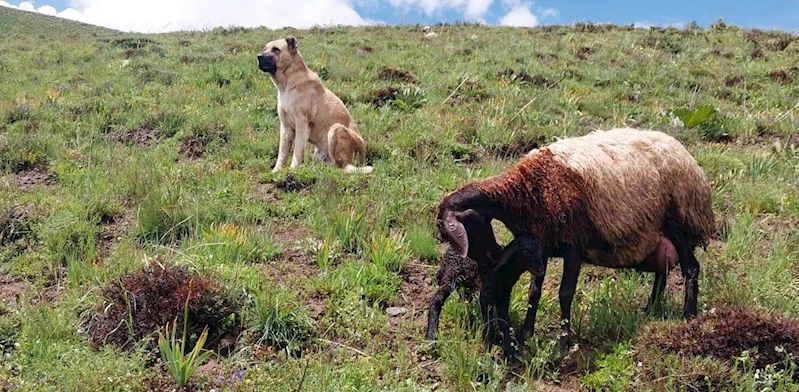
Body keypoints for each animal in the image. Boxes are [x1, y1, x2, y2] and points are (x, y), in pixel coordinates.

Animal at [258, 36, 374, 174]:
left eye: (276, 49)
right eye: (265, 48)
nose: (259, 56)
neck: (287, 84)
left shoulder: (302, 124)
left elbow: (297, 150)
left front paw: (293, 169)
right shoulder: (286, 128)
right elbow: (282, 153)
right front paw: (276, 171)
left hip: (336, 129)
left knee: (342, 166)